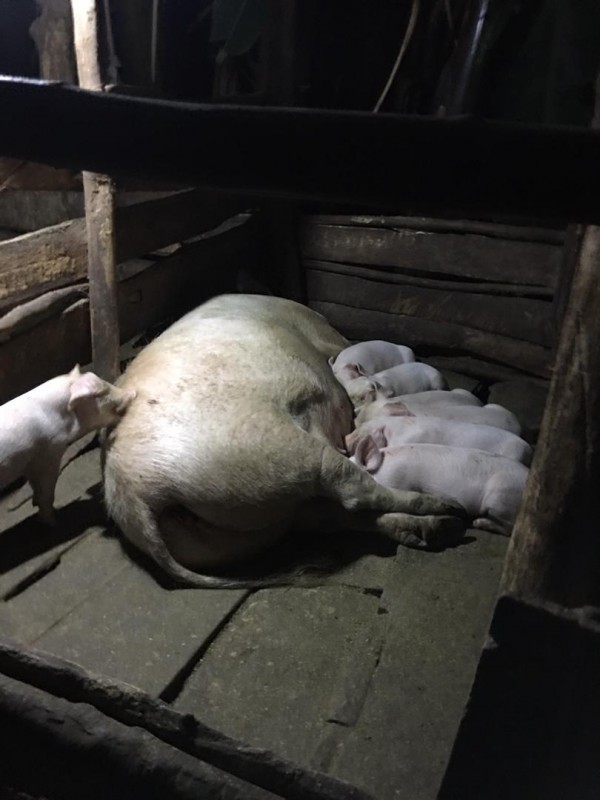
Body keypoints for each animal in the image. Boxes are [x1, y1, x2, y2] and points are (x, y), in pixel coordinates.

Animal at [0, 366, 135, 524]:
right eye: (100, 393)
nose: (133, 392)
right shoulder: (50, 453)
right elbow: (47, 491)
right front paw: (53, 521)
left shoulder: (31, 462)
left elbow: (35, 485)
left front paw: (35, 503)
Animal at [102, 294, 467, 589]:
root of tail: (133, 492)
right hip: (277, 453)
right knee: (353, 493)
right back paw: (447, 510)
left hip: (259, 515)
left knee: (334, 515)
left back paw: (435, 528)